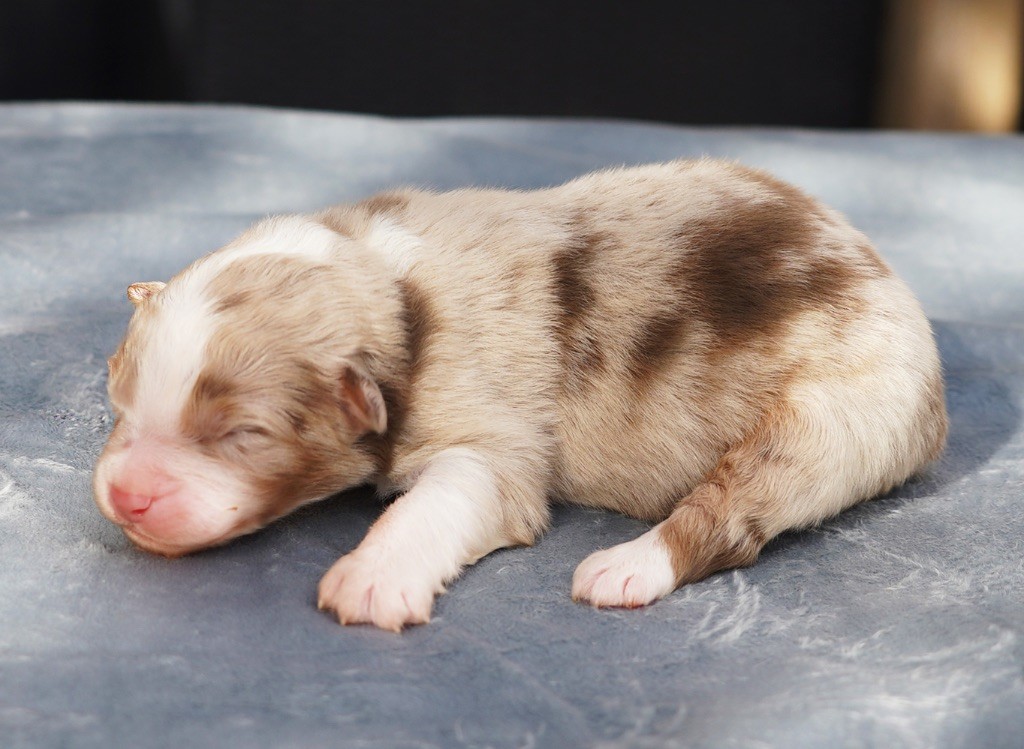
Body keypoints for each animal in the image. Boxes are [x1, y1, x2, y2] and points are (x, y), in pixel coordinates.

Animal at [92, 162, 946, 631]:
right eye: (119, 402)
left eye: (244, 434)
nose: (127, 496)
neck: (394, 291)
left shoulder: (491, 442)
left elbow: (434, 502)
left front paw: (370, 576)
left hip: (836, 416)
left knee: (734, 513)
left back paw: (628, 566)